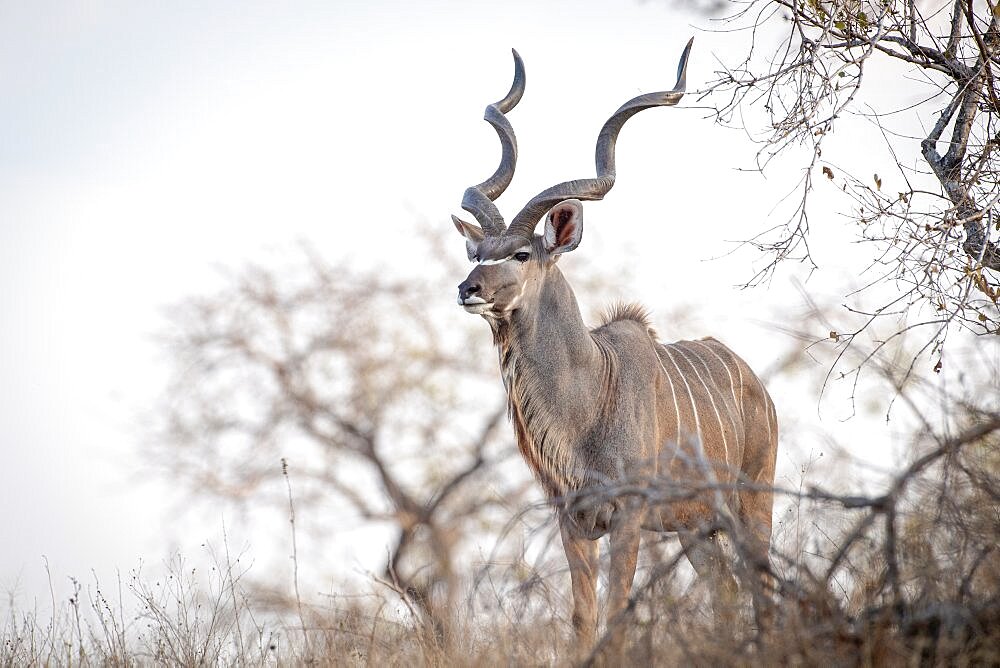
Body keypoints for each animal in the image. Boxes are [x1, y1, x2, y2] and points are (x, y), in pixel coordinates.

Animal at [454, 40, 780, 652]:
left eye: (522, 254)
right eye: (477, 252)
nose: (469, 289)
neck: (588, 395)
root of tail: (758, 387)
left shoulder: (628, 514)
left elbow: (619, 613)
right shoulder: (574, 519)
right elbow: (583, 619)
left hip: (753, 500)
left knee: (762, 590)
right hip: (696, 525)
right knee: (725, 590)